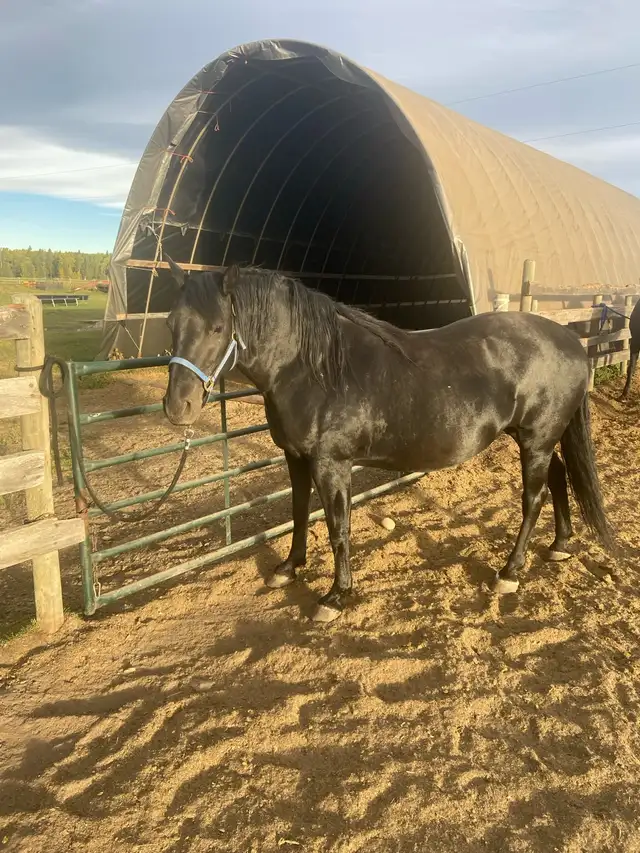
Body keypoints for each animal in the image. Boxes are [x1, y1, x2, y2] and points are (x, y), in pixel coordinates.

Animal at [162, 257, 615, 623]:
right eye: (170, 324)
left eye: (218, 328)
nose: (177, 407)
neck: (314, 369)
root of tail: (571, 341)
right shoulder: (295, 457)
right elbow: (298, 512)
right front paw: (289, 568)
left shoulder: (332, 464)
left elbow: (338, 528)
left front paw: (335, 597)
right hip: (537, 439)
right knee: (558, 477)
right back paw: (559, 545)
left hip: (536, 441)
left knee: (533, 499)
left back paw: (509, 572)